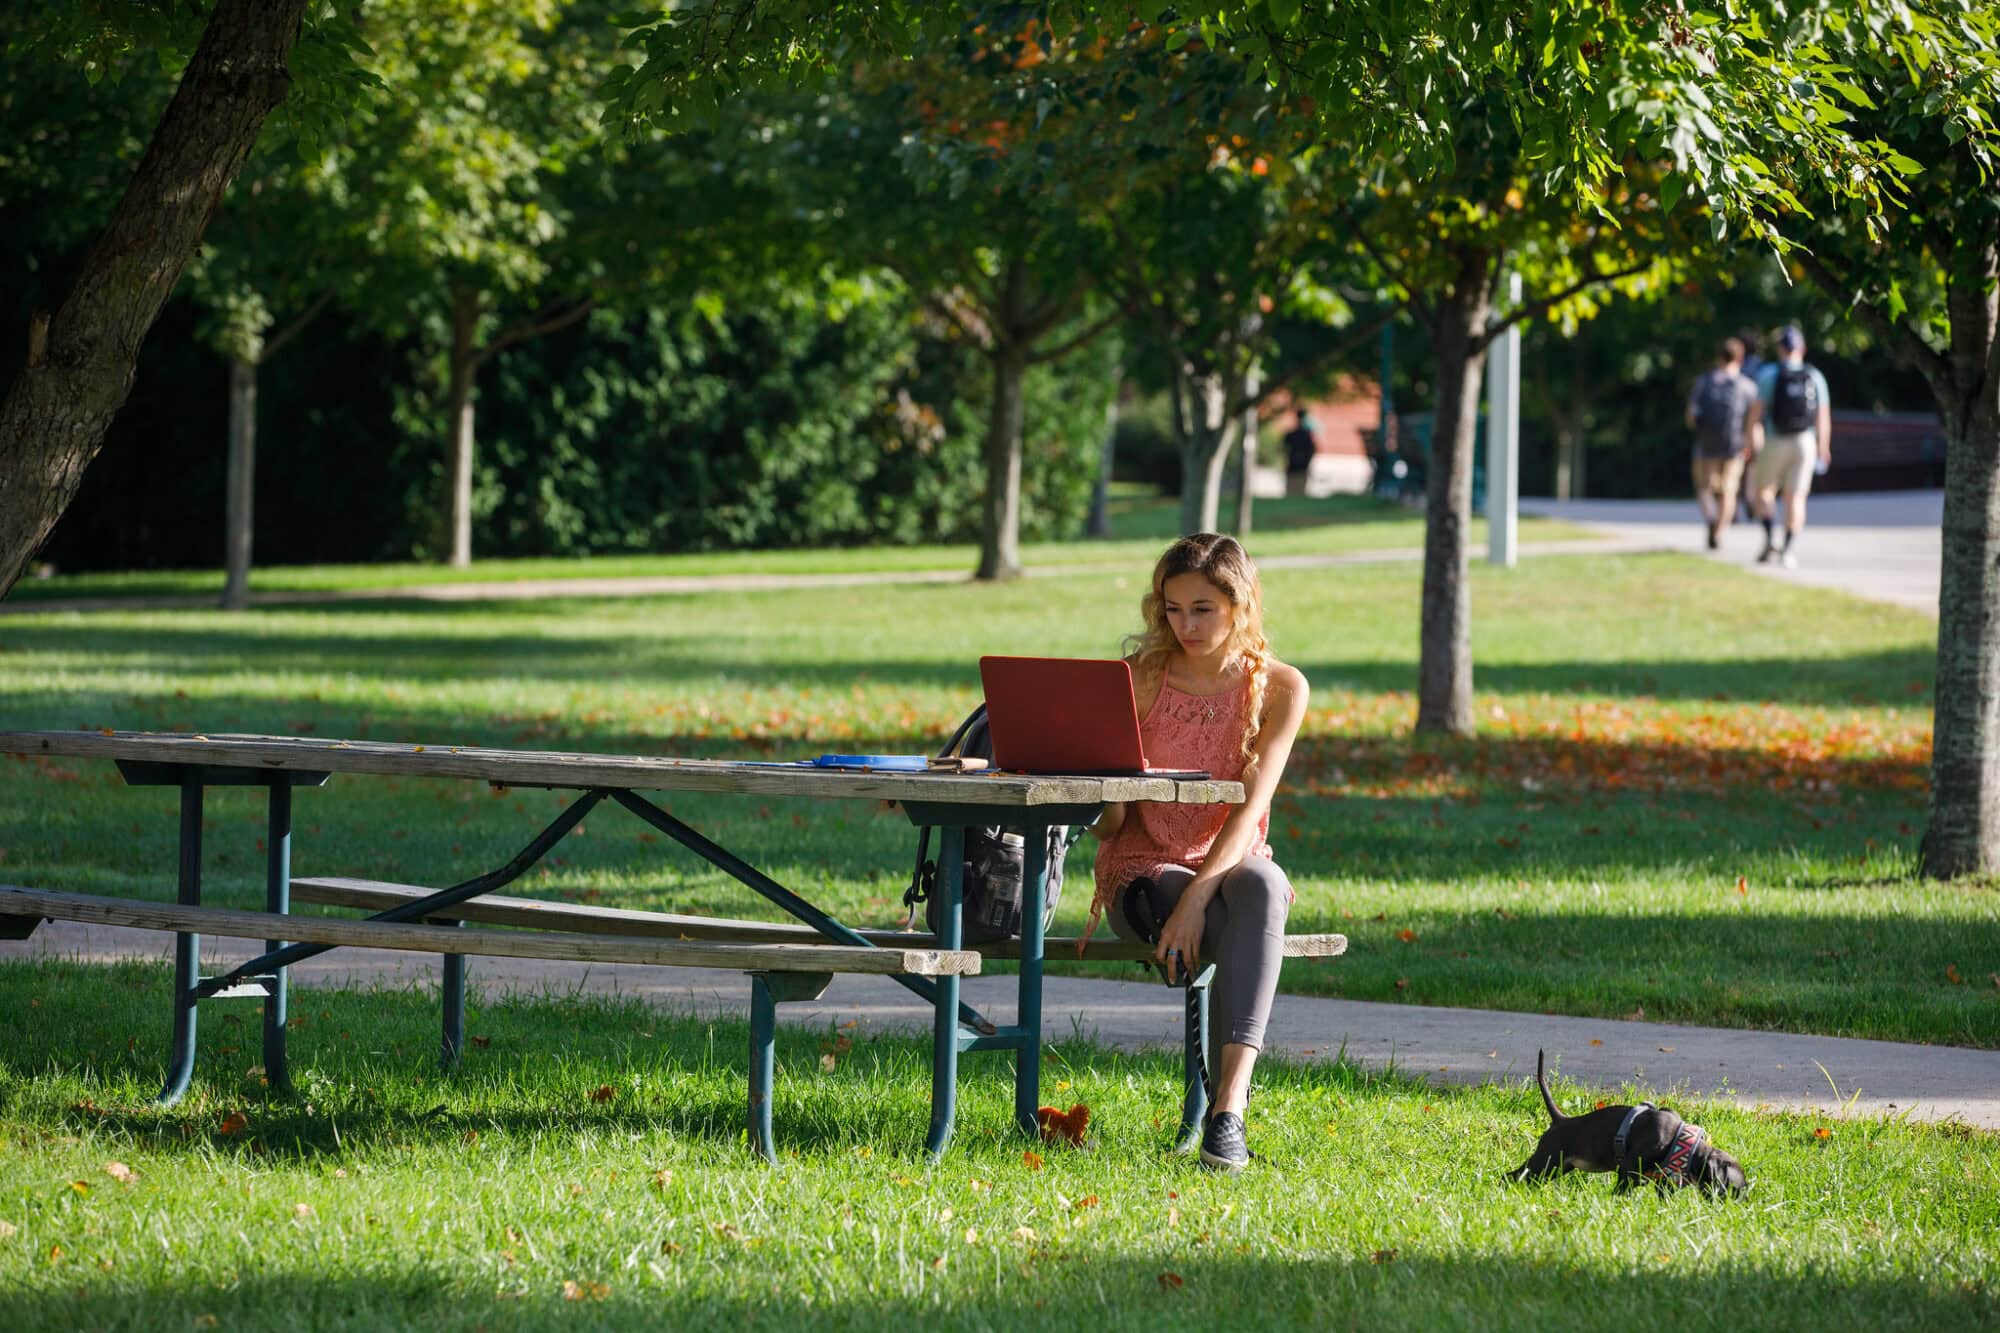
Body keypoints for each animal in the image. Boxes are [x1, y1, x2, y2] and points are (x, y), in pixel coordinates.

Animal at [1504, 1048, 1744, 1192]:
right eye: (1734, 1189)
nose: (1741, 1203)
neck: (1682, 1144)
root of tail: (1561, 1120)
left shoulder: (1665, 1182)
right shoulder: (1628, 1172)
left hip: (1558, 1167)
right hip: (1545, 1162)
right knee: (1511, 1175)